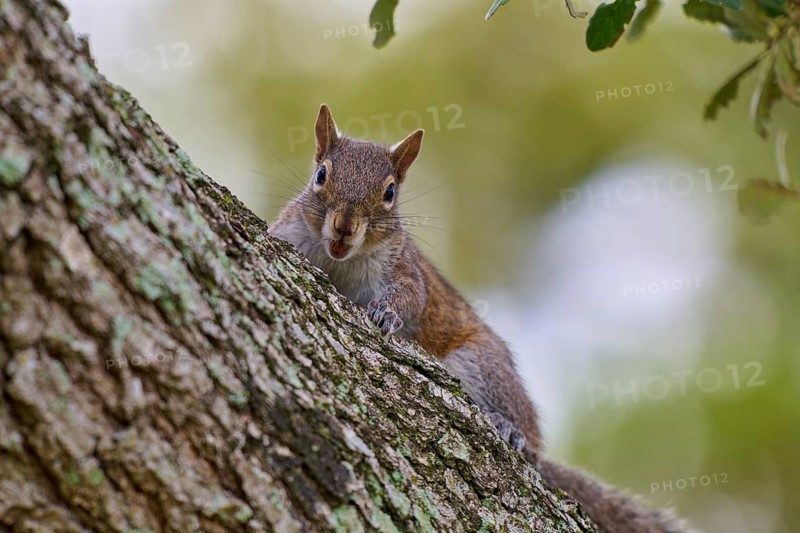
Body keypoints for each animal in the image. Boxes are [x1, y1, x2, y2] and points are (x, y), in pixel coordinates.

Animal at [269, 104, 689, 533]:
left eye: (389, 193)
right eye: (321, 174)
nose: (345, 226)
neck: (339, 259)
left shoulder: (403, 269)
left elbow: (411, 299)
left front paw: (386, 313)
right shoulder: (291, 232)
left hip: (481, 363)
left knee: (530, 443)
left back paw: (512, 431)